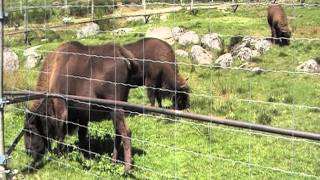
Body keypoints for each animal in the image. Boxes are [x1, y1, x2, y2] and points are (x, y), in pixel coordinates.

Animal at [23, 41, 139, 174]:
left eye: (30, 131)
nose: (28, 151)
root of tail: (120, 51)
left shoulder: (60, 106)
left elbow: (60, 133)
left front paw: (60, 156)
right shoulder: (83, 115)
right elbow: (81, 136)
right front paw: (83, 157)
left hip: (115, 109)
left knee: (126, 133)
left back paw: (127, 169)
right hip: (115, 111)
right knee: (118, 134)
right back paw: (113, 162)